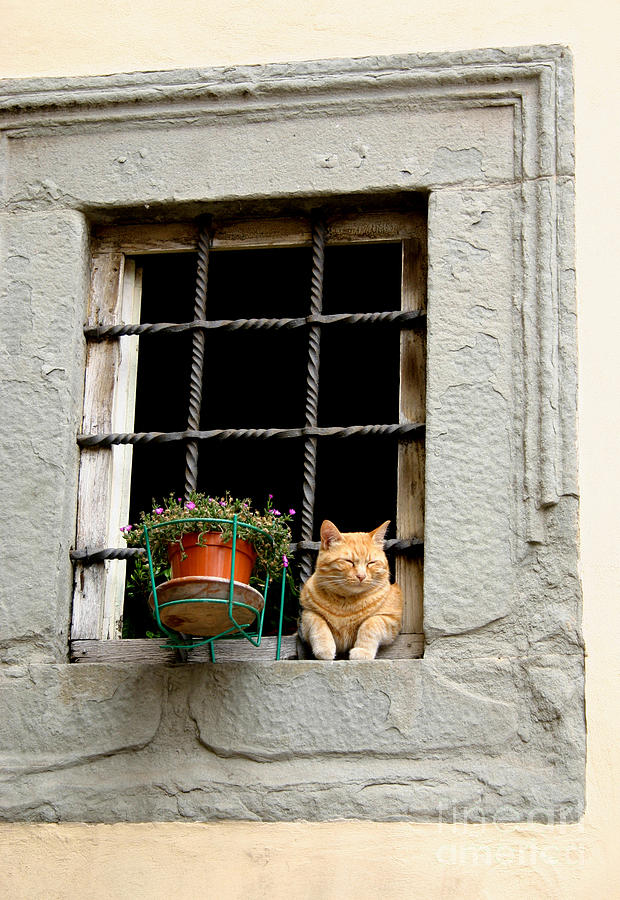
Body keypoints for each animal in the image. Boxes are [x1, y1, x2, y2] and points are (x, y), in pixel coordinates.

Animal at [300, 520, 402, 660]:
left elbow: (370, 624)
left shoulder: (391, 618)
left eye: (371, 563)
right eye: (349, 561)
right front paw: (324, 648)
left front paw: (362, 651)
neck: (346, 602)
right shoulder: (307, 614)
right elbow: (318, 623)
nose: (361, 576)